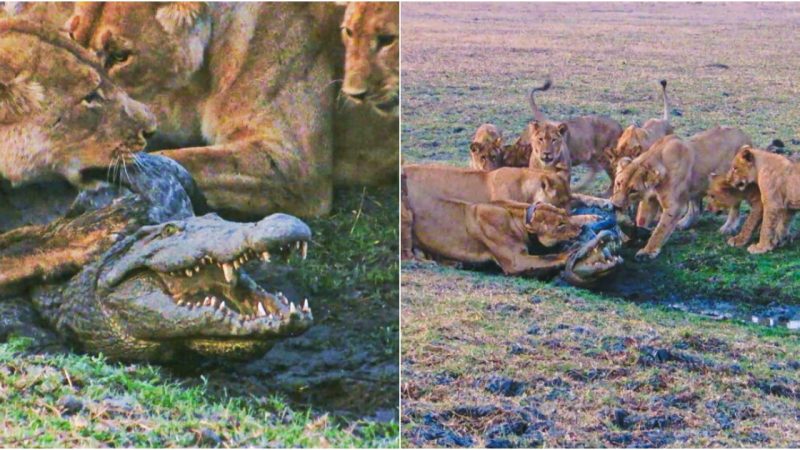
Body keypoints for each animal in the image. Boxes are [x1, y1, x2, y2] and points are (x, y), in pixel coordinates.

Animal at [608, 126, 752, 260]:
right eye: (618, 184)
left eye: (633, 190)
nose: (616, 206)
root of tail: (745, 135)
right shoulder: (649, 201)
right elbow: (641, 220)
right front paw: (636, 234)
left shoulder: (674, 206)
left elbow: (660, 230)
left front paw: (647, 252)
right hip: (694, 187)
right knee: (695, 209)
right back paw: (683, 224)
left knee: (735, 207)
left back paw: (728, 227)